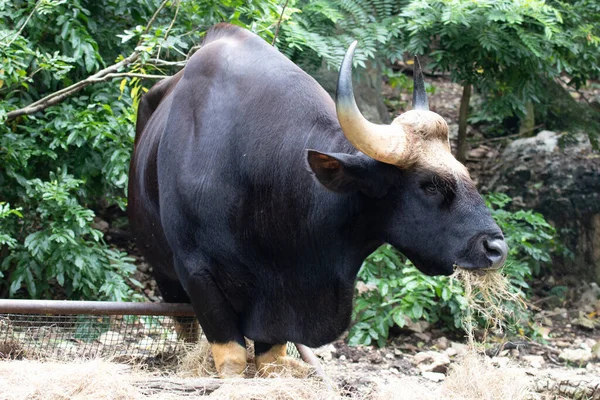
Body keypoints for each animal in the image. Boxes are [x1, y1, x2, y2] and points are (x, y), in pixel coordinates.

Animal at [129, 24, 508, 376]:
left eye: (465, 172)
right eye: (428, 185)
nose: (496, 249)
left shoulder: (279, 307)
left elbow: (270, 362)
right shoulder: (196, 272)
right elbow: (233, 359)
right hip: (165, 274)